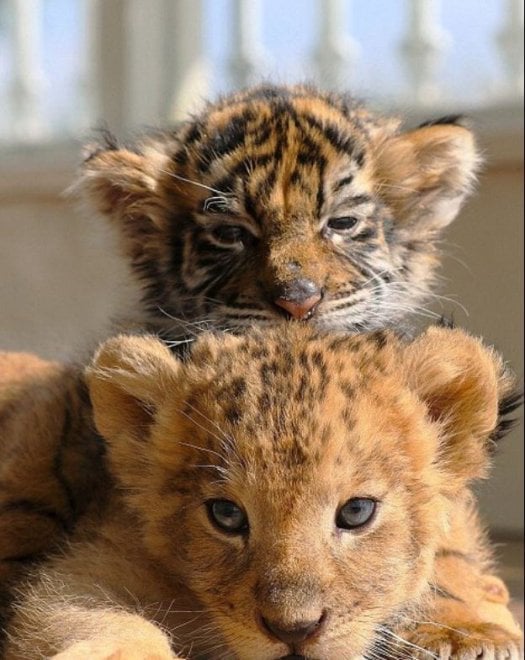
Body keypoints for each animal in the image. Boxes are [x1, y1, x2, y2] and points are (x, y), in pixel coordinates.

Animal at [3, 324, 522, 659]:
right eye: (227, 515)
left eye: (356, 511)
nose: (294, 630)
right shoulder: (87, 568)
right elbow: (92, 617)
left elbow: (452, 562)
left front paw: (470, 633)